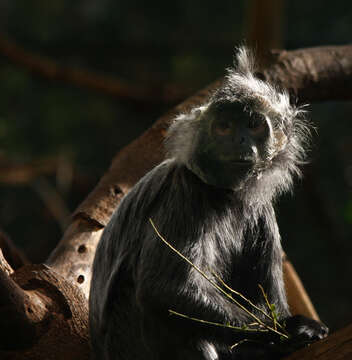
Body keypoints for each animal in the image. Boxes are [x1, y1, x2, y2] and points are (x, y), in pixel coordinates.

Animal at [89, 47, 328, 360]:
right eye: (224, 128)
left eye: (253, 125)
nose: (240, 141)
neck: (224, 195)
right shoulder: (185, 190)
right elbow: (165, 289)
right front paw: (290, 330)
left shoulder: (259, 209)